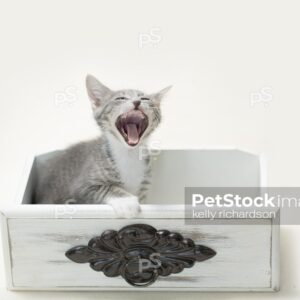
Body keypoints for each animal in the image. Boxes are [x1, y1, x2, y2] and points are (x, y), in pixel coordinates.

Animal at [34, 73, 171, 217]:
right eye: (120, 98)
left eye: (145, 98)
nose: (136, 102)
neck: (128, 153)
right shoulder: (80, 187)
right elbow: (105, 188)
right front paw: (126, 202)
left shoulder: (144, 187)